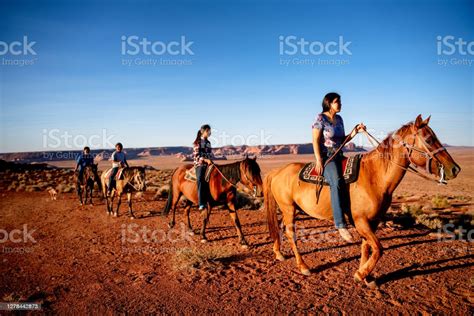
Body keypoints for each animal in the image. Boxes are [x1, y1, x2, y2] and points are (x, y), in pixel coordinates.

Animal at [262, 115, 460, 284]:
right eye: (428, 139)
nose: (455, 169)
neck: (375, 176)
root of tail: (277, 172)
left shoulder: (372, 221)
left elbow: (367, 247)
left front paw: (365, 275)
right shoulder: (360, 221)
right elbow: (379, 248)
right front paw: (361, 273)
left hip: (291, 209)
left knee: (280, 227)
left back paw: (278, 253)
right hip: (288, 208)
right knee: (291, 233)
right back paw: (303, 266)